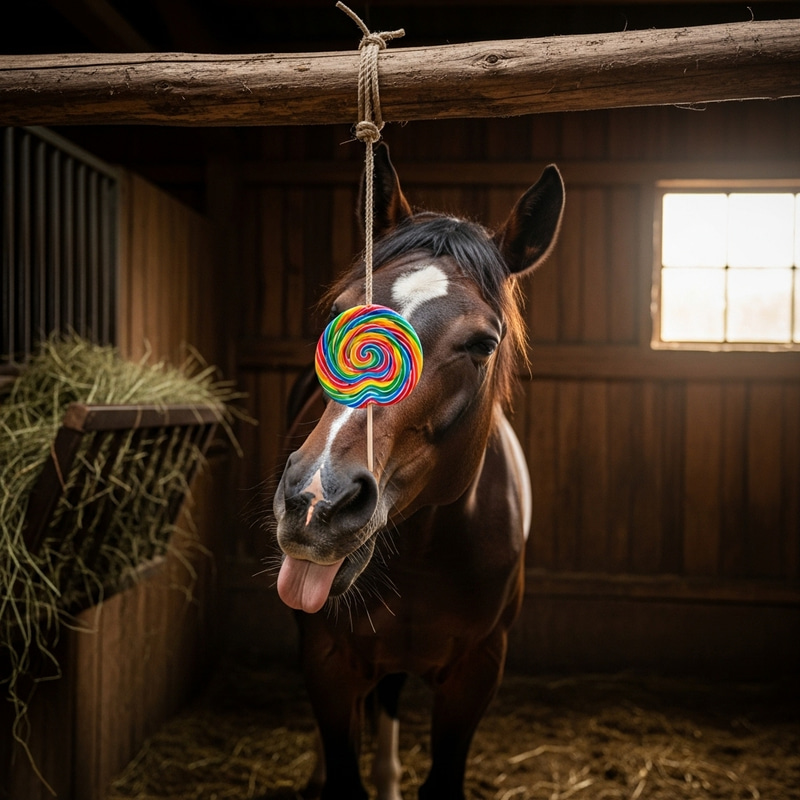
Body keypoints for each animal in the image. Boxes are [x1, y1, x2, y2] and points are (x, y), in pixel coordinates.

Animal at [271, 142, 564, 800]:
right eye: (338, 315)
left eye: (483, 344)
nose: (317, 501)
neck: (426, 548)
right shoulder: (327, 658)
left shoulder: (478, 671)